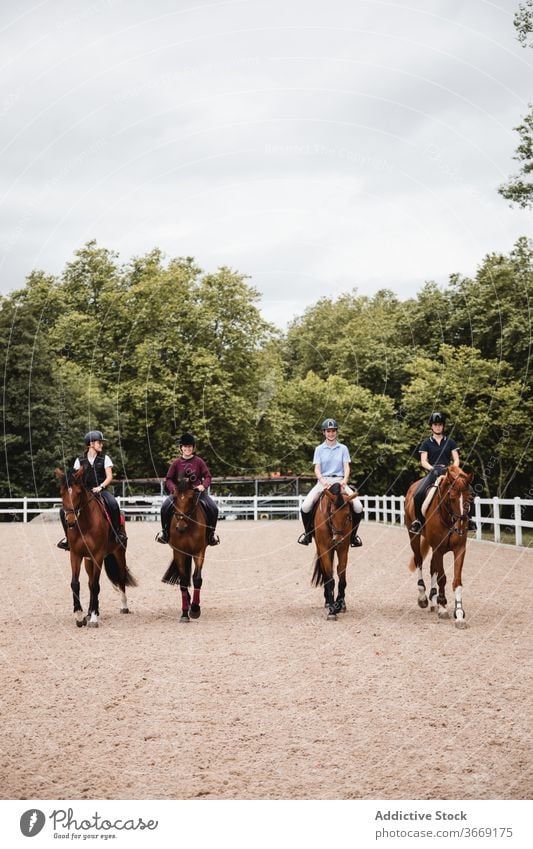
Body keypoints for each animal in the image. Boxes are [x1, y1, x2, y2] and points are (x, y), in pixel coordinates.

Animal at [54, 468, 136, 628]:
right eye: (61, 492)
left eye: (79, 492)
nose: (70, 521)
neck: (85, 524)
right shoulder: (76, 555)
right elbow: (76, 584)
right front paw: (80, 616)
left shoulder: (98, 555)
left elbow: (95, 586)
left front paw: (93, 618)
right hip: (88, 560)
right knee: (90, 581)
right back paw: (90, 611)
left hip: (119, 552)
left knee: (120, 577)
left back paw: (123, 607)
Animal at [160, 474, 208, 620]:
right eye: (175, 497)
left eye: (191, 497)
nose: (180, 527)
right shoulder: (179, 552)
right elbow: (183, 582)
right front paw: (185, 613)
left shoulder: (199, 551)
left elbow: (197, 579)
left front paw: (195, 609)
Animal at [312, 480, 358, 620]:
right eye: (331, 514)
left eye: (348, 515)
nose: (337, 540)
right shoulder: (324, 548)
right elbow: (330, 579)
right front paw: (332, 610)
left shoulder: (343, 549)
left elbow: (342, 578)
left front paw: (340, 604)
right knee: (325, 572)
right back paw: (328, 602)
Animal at [406, 460, 472, 628]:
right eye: (451, 497)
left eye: (469, 498)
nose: (460, 528)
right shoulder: (438, 549)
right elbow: (442, 577)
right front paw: (443, 608)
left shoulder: (459, 549)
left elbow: (456, 581)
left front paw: (459, 614)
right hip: (414, 536)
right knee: (419, 561)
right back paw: (423, 598)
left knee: (431, 567)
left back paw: (433, 601)